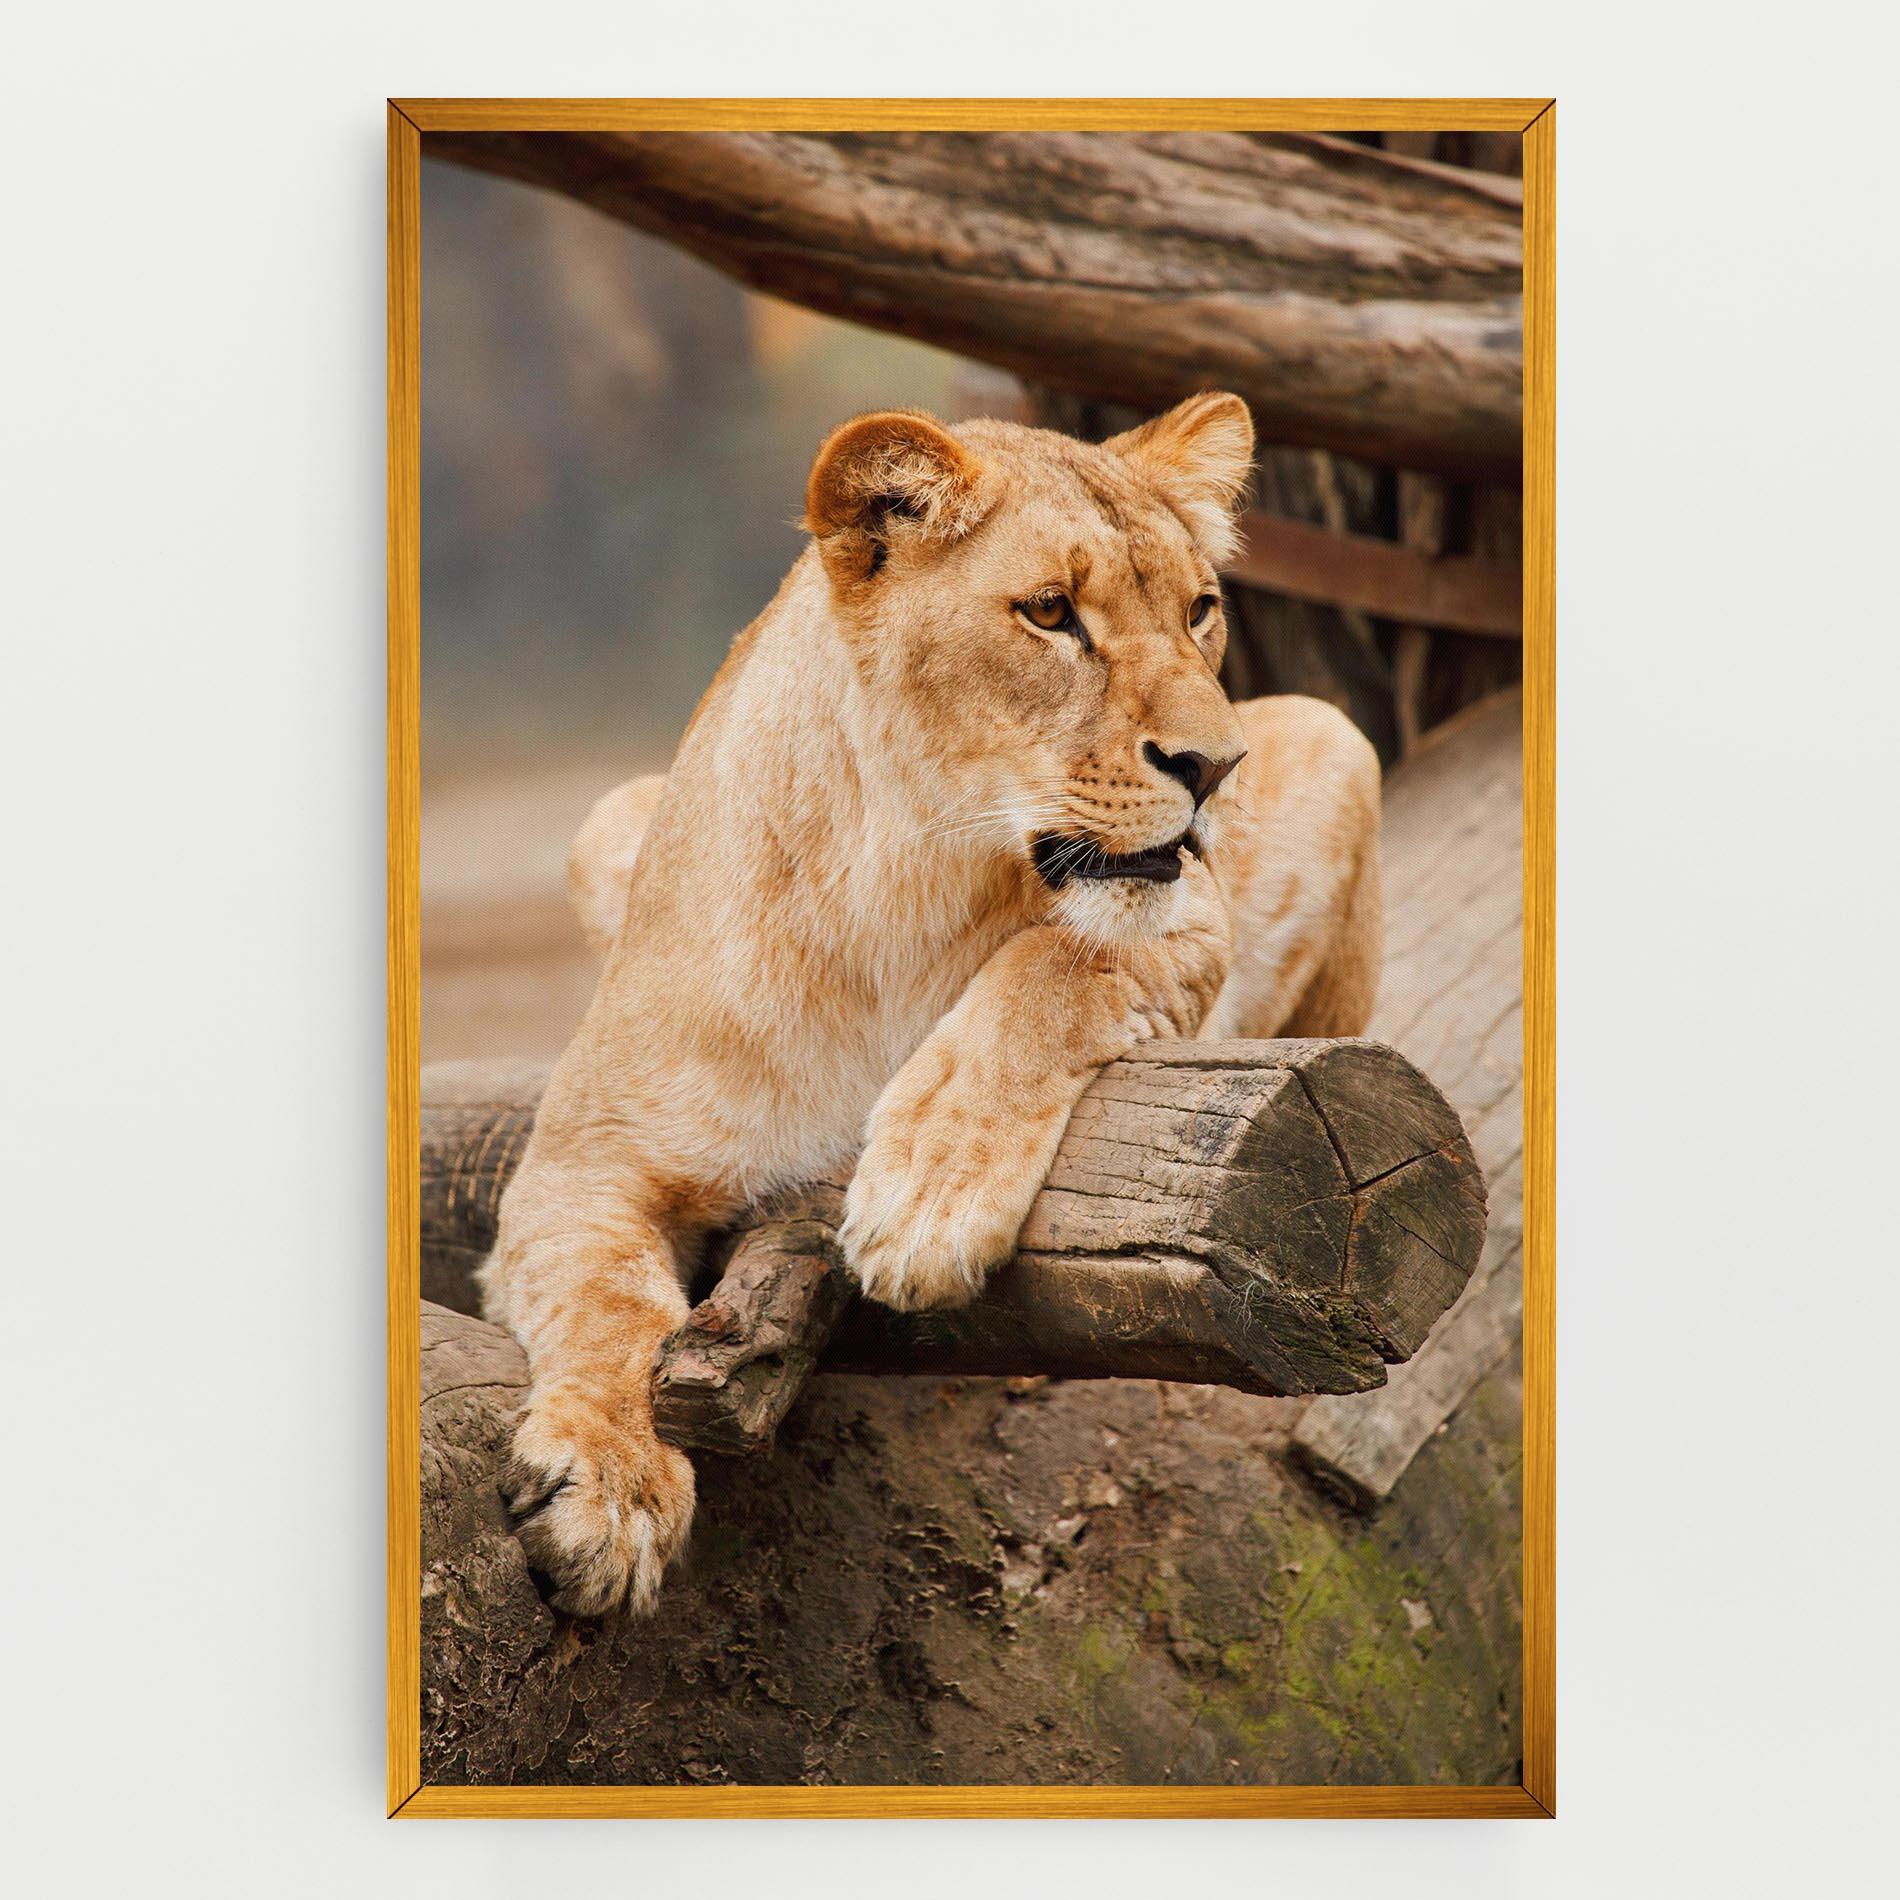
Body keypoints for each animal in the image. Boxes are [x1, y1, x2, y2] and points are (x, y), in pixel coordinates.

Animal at [479, 393, 1381, 1616]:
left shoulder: (1191, 917)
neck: (899, 887)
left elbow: (1053, 967)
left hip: (1338, 738)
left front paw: (925, 1201)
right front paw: (610, 1488)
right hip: (607, 818)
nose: (1217, 767)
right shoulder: (582, 1159)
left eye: (1201, 611)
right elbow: (605, 1300)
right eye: (1050, 613)